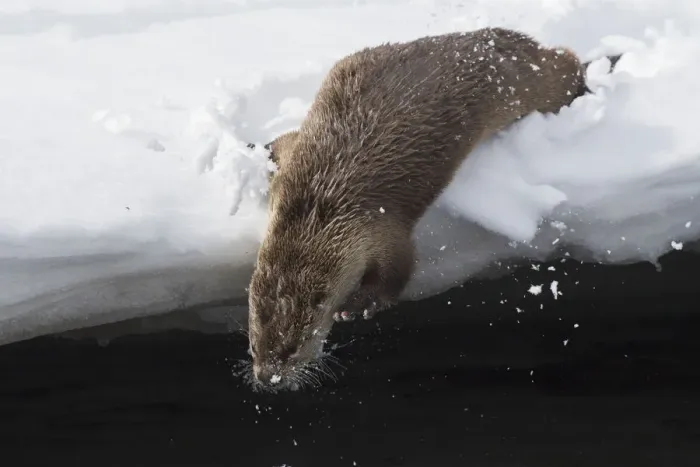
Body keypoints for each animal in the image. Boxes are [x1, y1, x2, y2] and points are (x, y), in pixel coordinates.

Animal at [245, 27, 622, 391]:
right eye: (253, 345)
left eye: (291, 349)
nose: (267, 378)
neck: (316, 206)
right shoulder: (294, 167)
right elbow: (285, 141)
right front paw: (254, 147)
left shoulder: (376, 227)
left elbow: (400, 267)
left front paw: (357, 307)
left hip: (534, 85)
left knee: (566, 63)